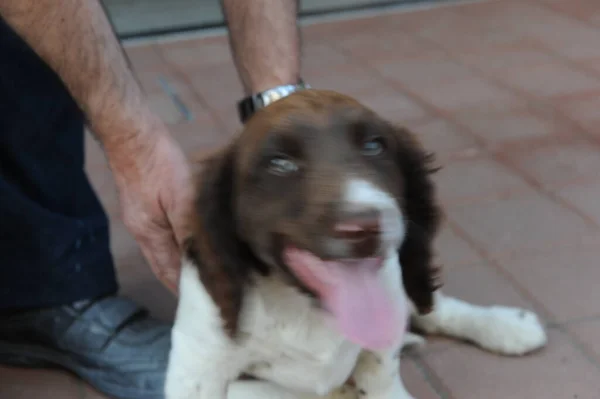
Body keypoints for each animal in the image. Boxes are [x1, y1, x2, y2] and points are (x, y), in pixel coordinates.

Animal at [165, 90, 548, 399]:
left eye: (374, 146)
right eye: (279, 163)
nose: (364, 228)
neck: (308, 308)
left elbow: (381, 374)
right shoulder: (200, 362)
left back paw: (508, 325)